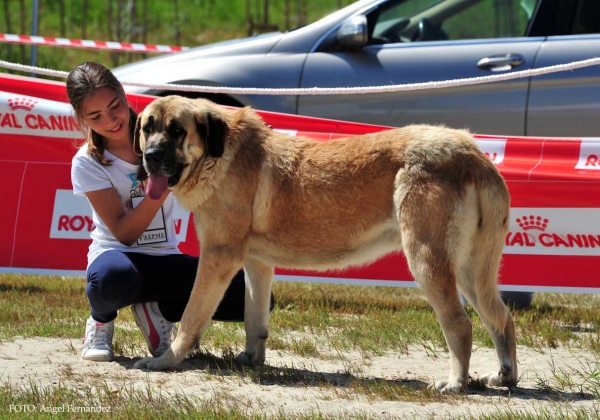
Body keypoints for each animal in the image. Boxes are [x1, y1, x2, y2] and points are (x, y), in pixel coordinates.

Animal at [131, 96, 516, 394]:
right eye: (147, 128)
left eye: (177, 131)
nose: (150, 156)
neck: (219, 155)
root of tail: (473, 154)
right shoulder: (256, 264)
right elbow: (254, 319)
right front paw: (252, 360)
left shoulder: (218, 258)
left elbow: (191, 315)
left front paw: (166, 359)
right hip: (469, 271)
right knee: (501, 319)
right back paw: (503, 375)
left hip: (427, 262)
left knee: (460, 325)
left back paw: (455, 383)